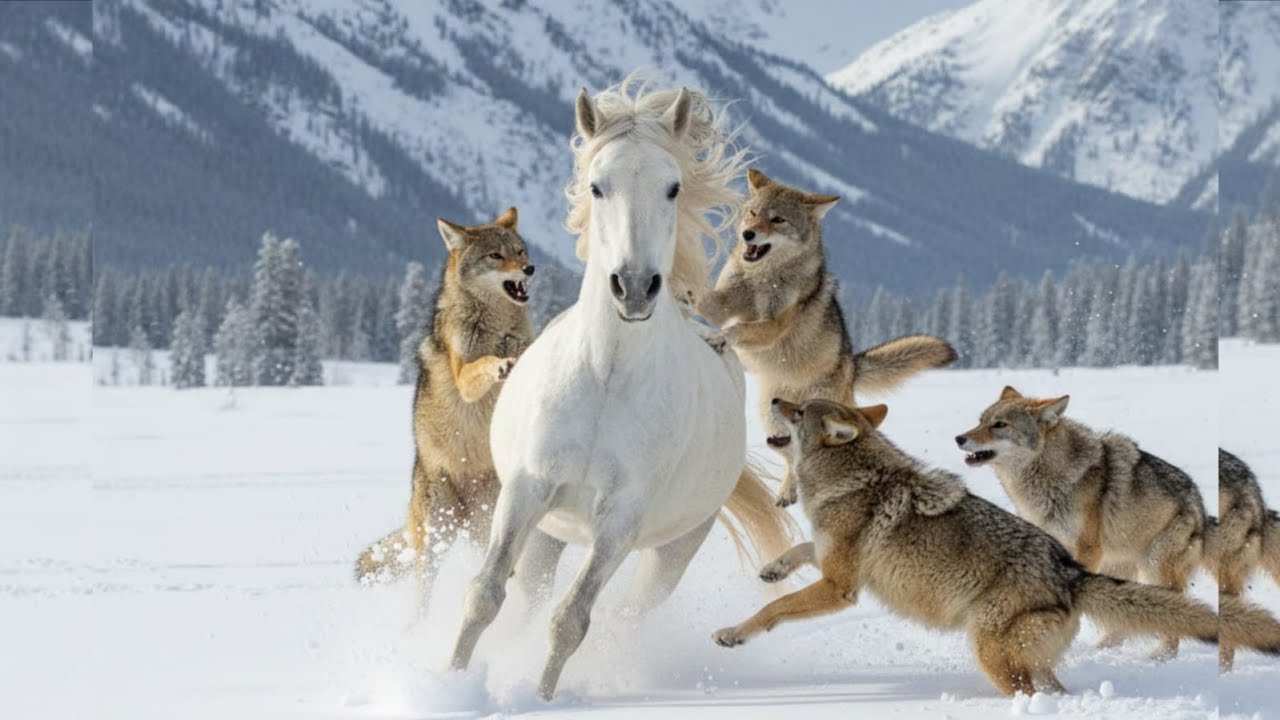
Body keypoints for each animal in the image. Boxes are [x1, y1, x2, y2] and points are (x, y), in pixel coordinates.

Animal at [448, 78, 794, 700]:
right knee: (529, 597)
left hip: (672, 550)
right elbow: (484, 595)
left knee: (624, 616)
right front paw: (450, 681)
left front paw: (542, 699)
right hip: (549, 534)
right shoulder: (526, 492)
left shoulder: (621, 519)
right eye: (596, 185)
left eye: (672, 186)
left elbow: (571, 621)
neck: (605, 380)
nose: (633, 287)